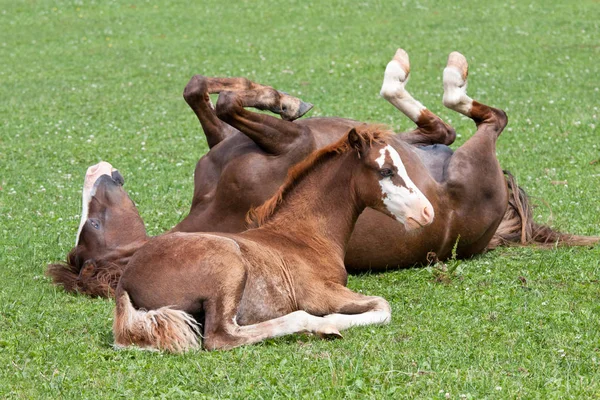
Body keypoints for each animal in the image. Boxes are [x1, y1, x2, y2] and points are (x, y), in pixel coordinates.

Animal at [48, 50, 600, 296]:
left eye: (89, 225)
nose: (98, 171)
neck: (213, 209)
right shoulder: (290, 145)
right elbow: (225, 101)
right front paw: (281, 99)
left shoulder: (230, 143)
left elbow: (200, 89)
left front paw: (283, 98)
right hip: (472, 160)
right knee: (485, 119)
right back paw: (443, 78)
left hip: (419, 144)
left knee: (437, 126)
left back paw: (399, 79)